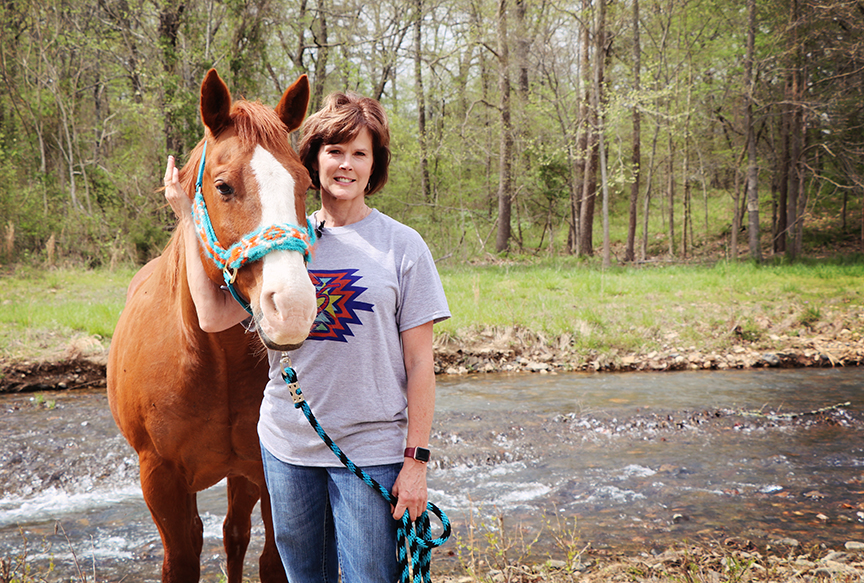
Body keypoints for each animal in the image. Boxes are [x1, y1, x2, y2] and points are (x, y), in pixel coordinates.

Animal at [107, 69, 316, 583]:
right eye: (223, 186)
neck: (207, 357)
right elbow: (180, 562)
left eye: (306, 184)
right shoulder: (161, 480)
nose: (292, 307)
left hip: (242, 475)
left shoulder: (268, 472)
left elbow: (271, 561)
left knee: (234, 535)